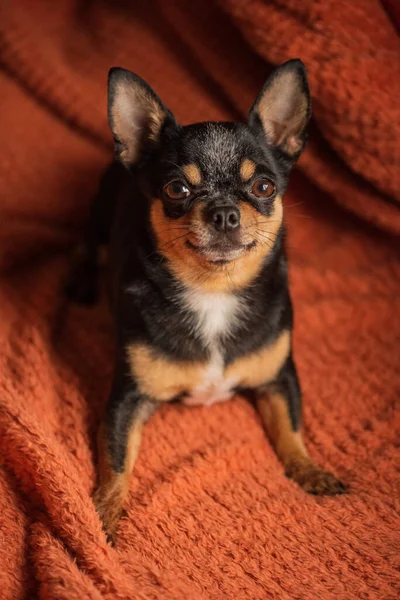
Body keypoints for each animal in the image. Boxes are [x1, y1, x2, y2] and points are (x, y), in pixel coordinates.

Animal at [67, 61, 346, 544]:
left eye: (264, 186)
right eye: (177, 189)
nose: (224, 211)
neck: (214, 292)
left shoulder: (279, 379)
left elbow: (290, 429)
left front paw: (309, 470)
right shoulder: (126, 399)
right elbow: (115, 462)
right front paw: (103, 515)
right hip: (98, 217)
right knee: (87, 248)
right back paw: (82, 284)